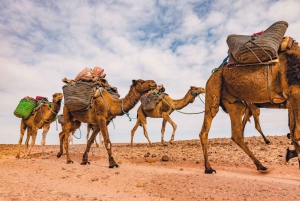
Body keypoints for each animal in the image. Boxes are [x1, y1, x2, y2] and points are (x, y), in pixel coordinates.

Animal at [199, 40, 300, 173]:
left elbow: (293, 132)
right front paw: (289, 154)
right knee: (206, 129)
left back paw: (260, 165)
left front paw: (289, 154)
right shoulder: (294, 93)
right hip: (213, 91)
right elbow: (296, 133)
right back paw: (209, 168)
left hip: (235, 104)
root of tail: (213, 73)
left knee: (237, 134)